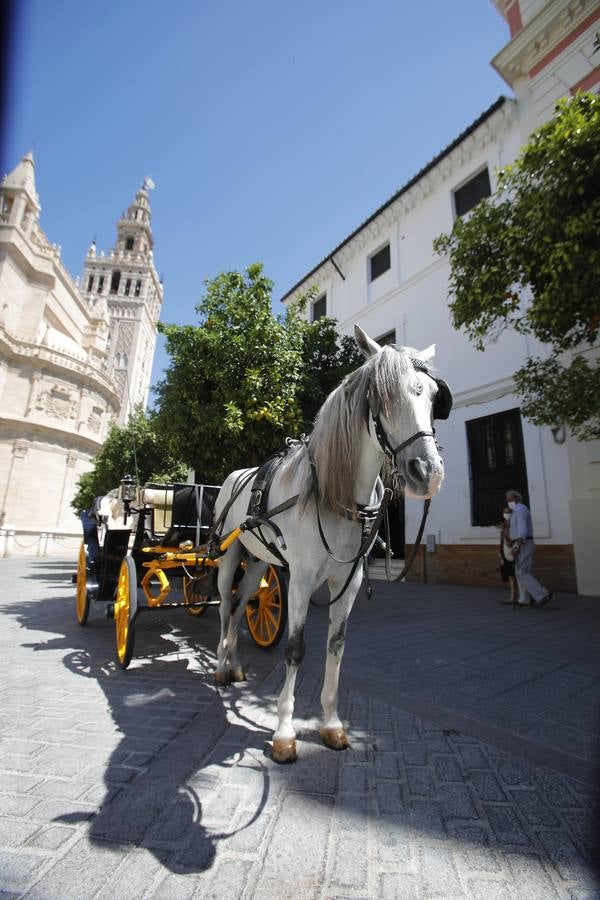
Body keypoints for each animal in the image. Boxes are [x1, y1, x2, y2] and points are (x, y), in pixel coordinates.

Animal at [212, 324, 446, 760]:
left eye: (434, 395)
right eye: (382, 395)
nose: (427, 472)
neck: (335, 495)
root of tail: (235, 475)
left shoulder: (348, 582)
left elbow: (335, 647)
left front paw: (332, 725)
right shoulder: (301, 580)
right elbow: (295, 649)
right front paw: (284, 732)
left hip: (258, 562)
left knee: (239, 605)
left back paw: (233, 664)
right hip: (228, 554)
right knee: (222, 606)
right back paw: (220, 666)